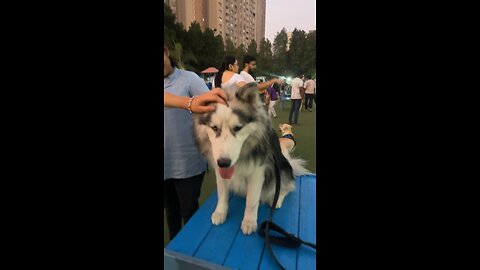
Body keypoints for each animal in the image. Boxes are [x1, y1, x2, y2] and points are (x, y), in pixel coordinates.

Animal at [191, 81, 308, 234]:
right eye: (214, 128)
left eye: (238, 128)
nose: (224, 163)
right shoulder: (219, 171)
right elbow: (221, 194)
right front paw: (220, 213)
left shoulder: (258, 172)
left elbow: (252, 201)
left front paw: (249, 221)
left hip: (283, 169)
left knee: (286, 187)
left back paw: (277, 199)